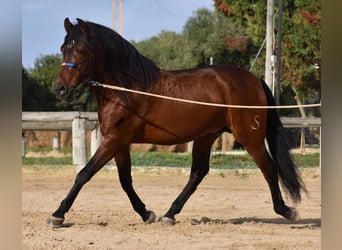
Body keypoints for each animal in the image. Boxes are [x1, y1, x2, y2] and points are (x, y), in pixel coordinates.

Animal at [46, 18, 306, 228]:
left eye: (80, 50)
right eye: (62, 48)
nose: (61, 89)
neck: (126, 89)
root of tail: (254, 79)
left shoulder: (114, 140)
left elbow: (84, 174)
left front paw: (57, 215)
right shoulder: (119, 142)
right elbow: (125, 180)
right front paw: (147, 214)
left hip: (250, 137)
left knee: (269, 168)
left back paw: (286, 210)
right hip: (206, 136)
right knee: (198, 173)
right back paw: (170, 214)